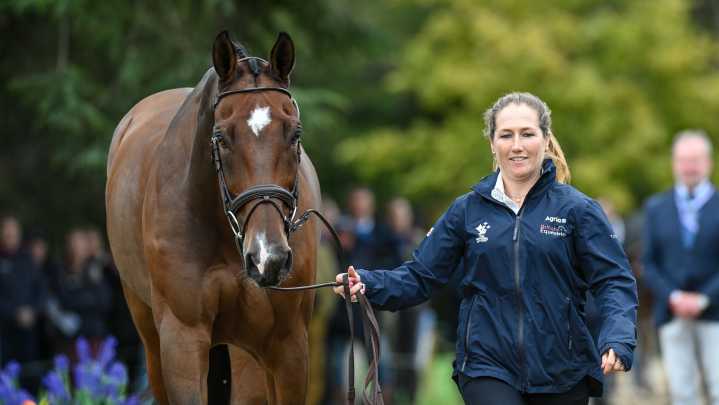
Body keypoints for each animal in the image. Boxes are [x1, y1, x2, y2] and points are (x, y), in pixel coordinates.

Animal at [105, 31, 320, 404]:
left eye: (295, 133)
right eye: (221, 137)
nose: (267, 257)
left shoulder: (289, 346)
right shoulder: (181, 341)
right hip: (150, 334)